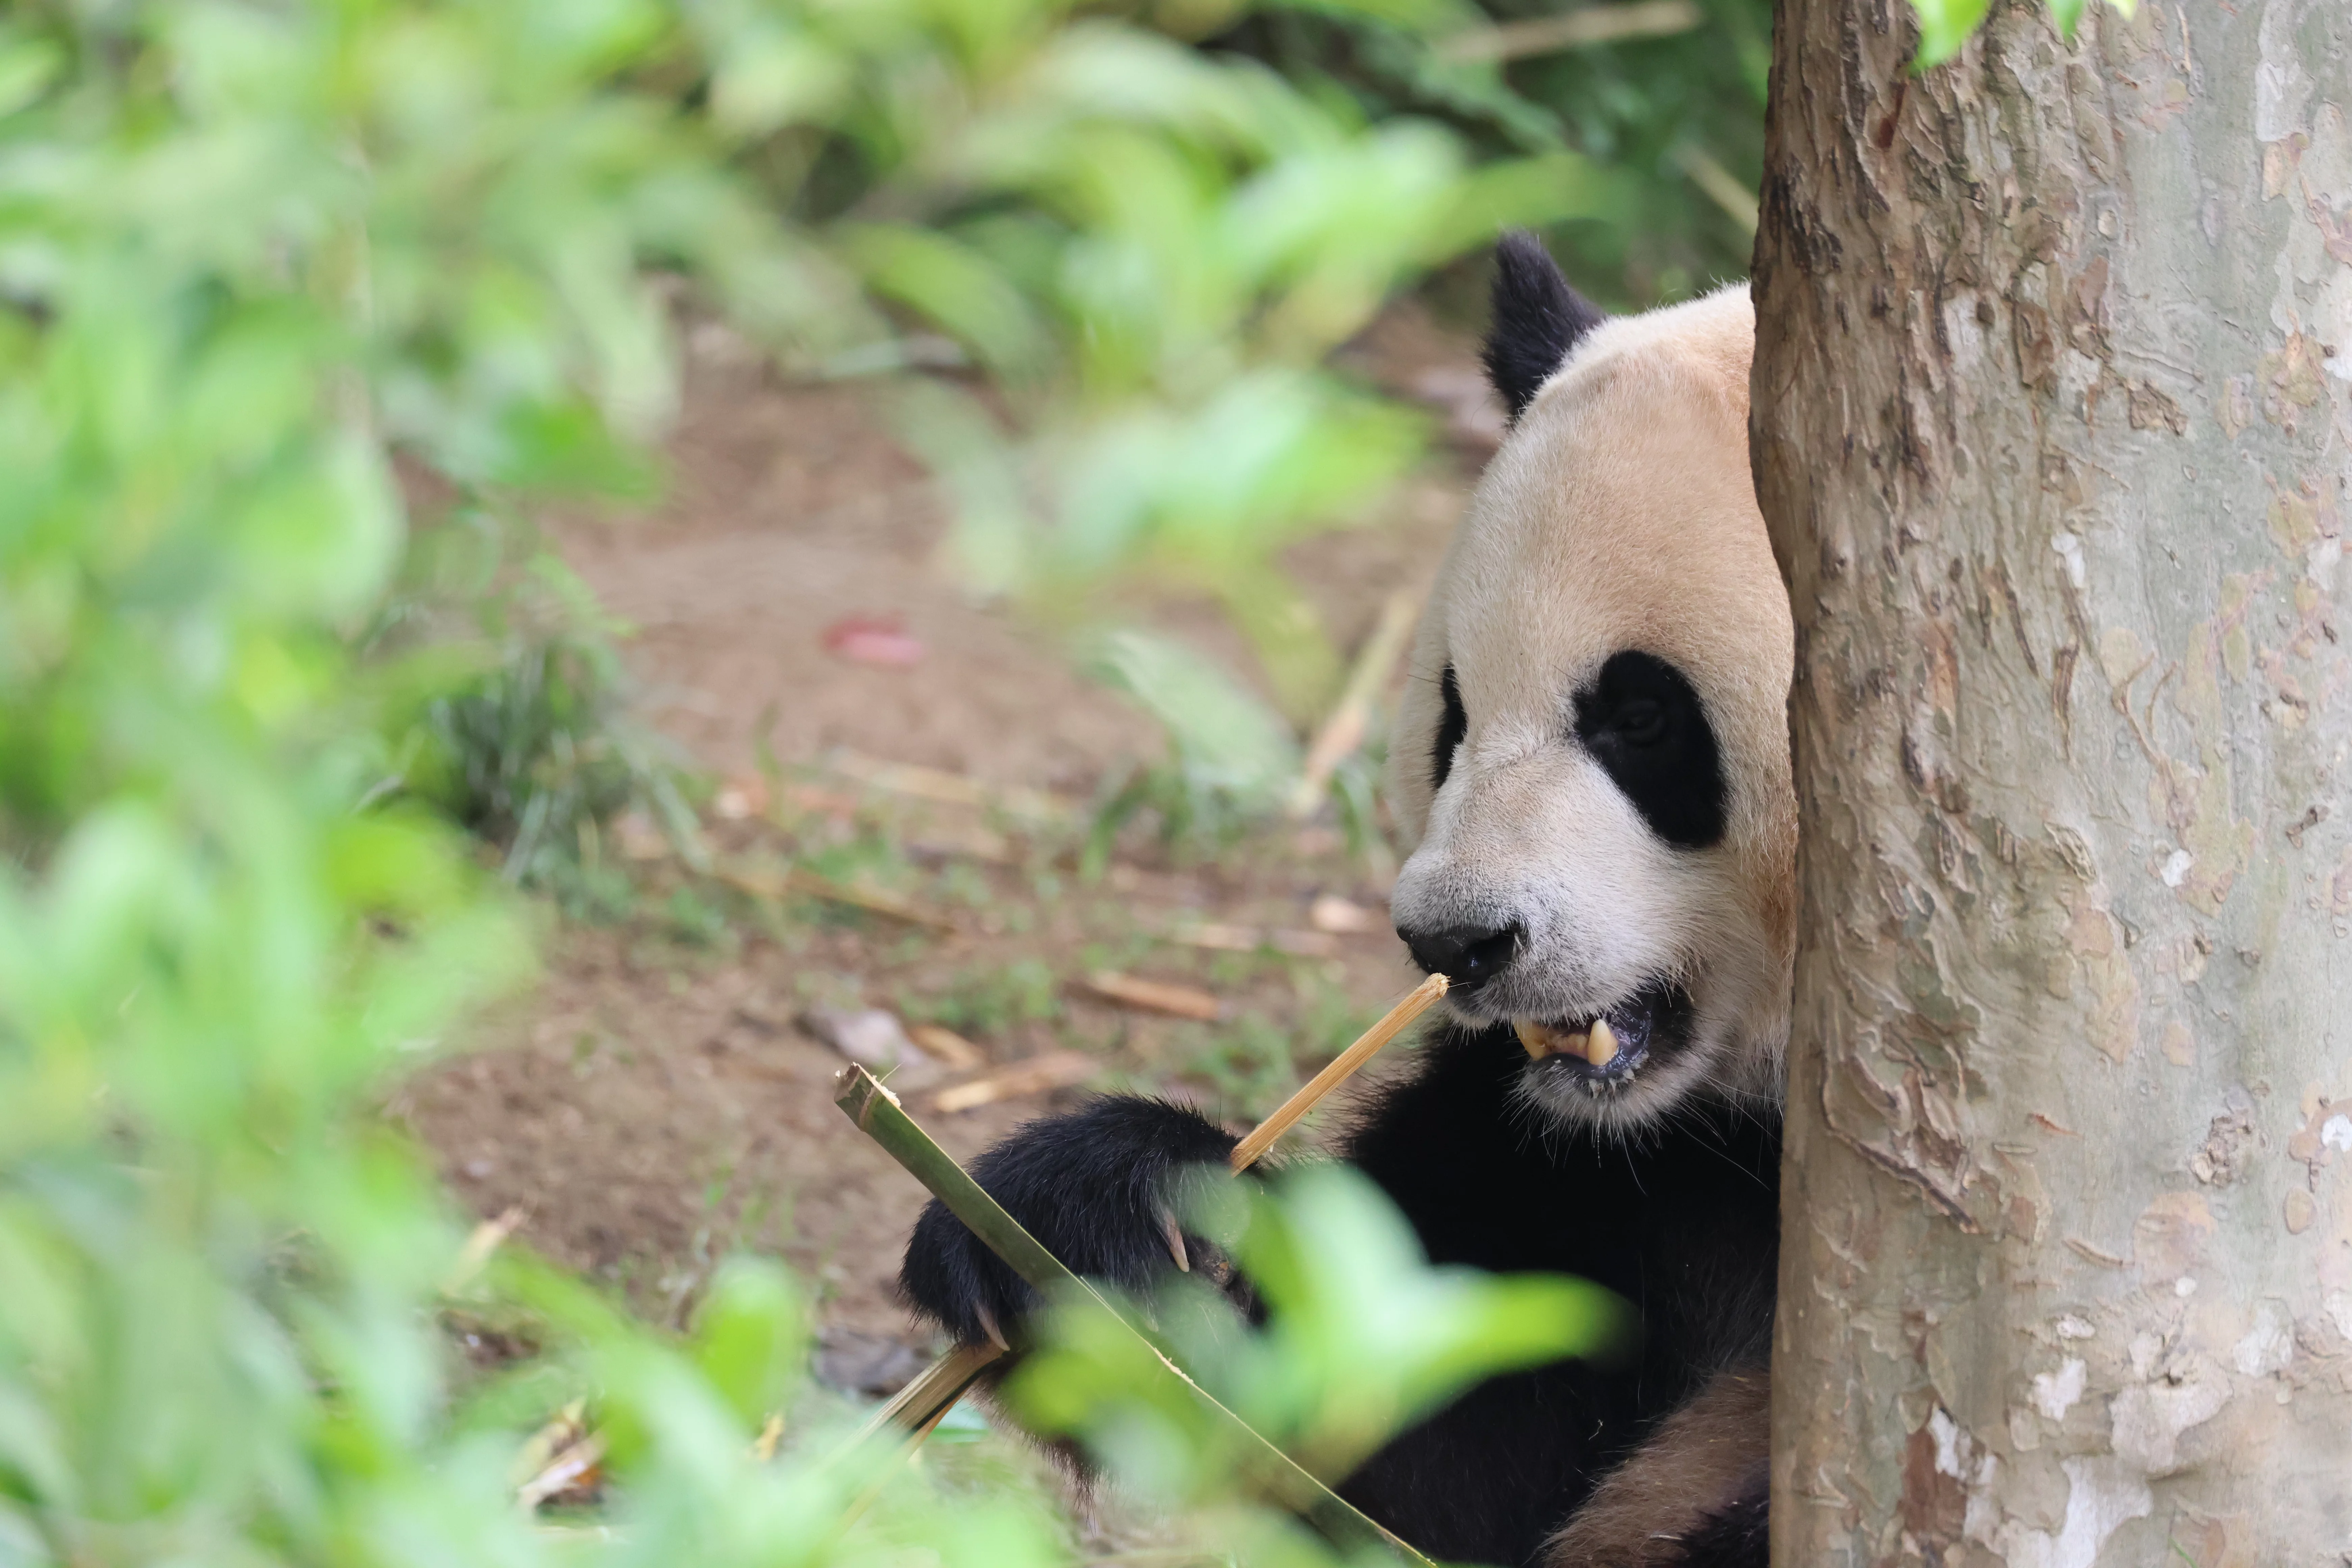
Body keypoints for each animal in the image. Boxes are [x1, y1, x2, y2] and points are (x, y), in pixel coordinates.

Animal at [900, 232, 1794, 1568]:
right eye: (1452, 711)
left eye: (1642, 716)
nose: (1456, 939)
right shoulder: (1585, 1169)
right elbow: (1385, 1421)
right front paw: (1091, 1227)